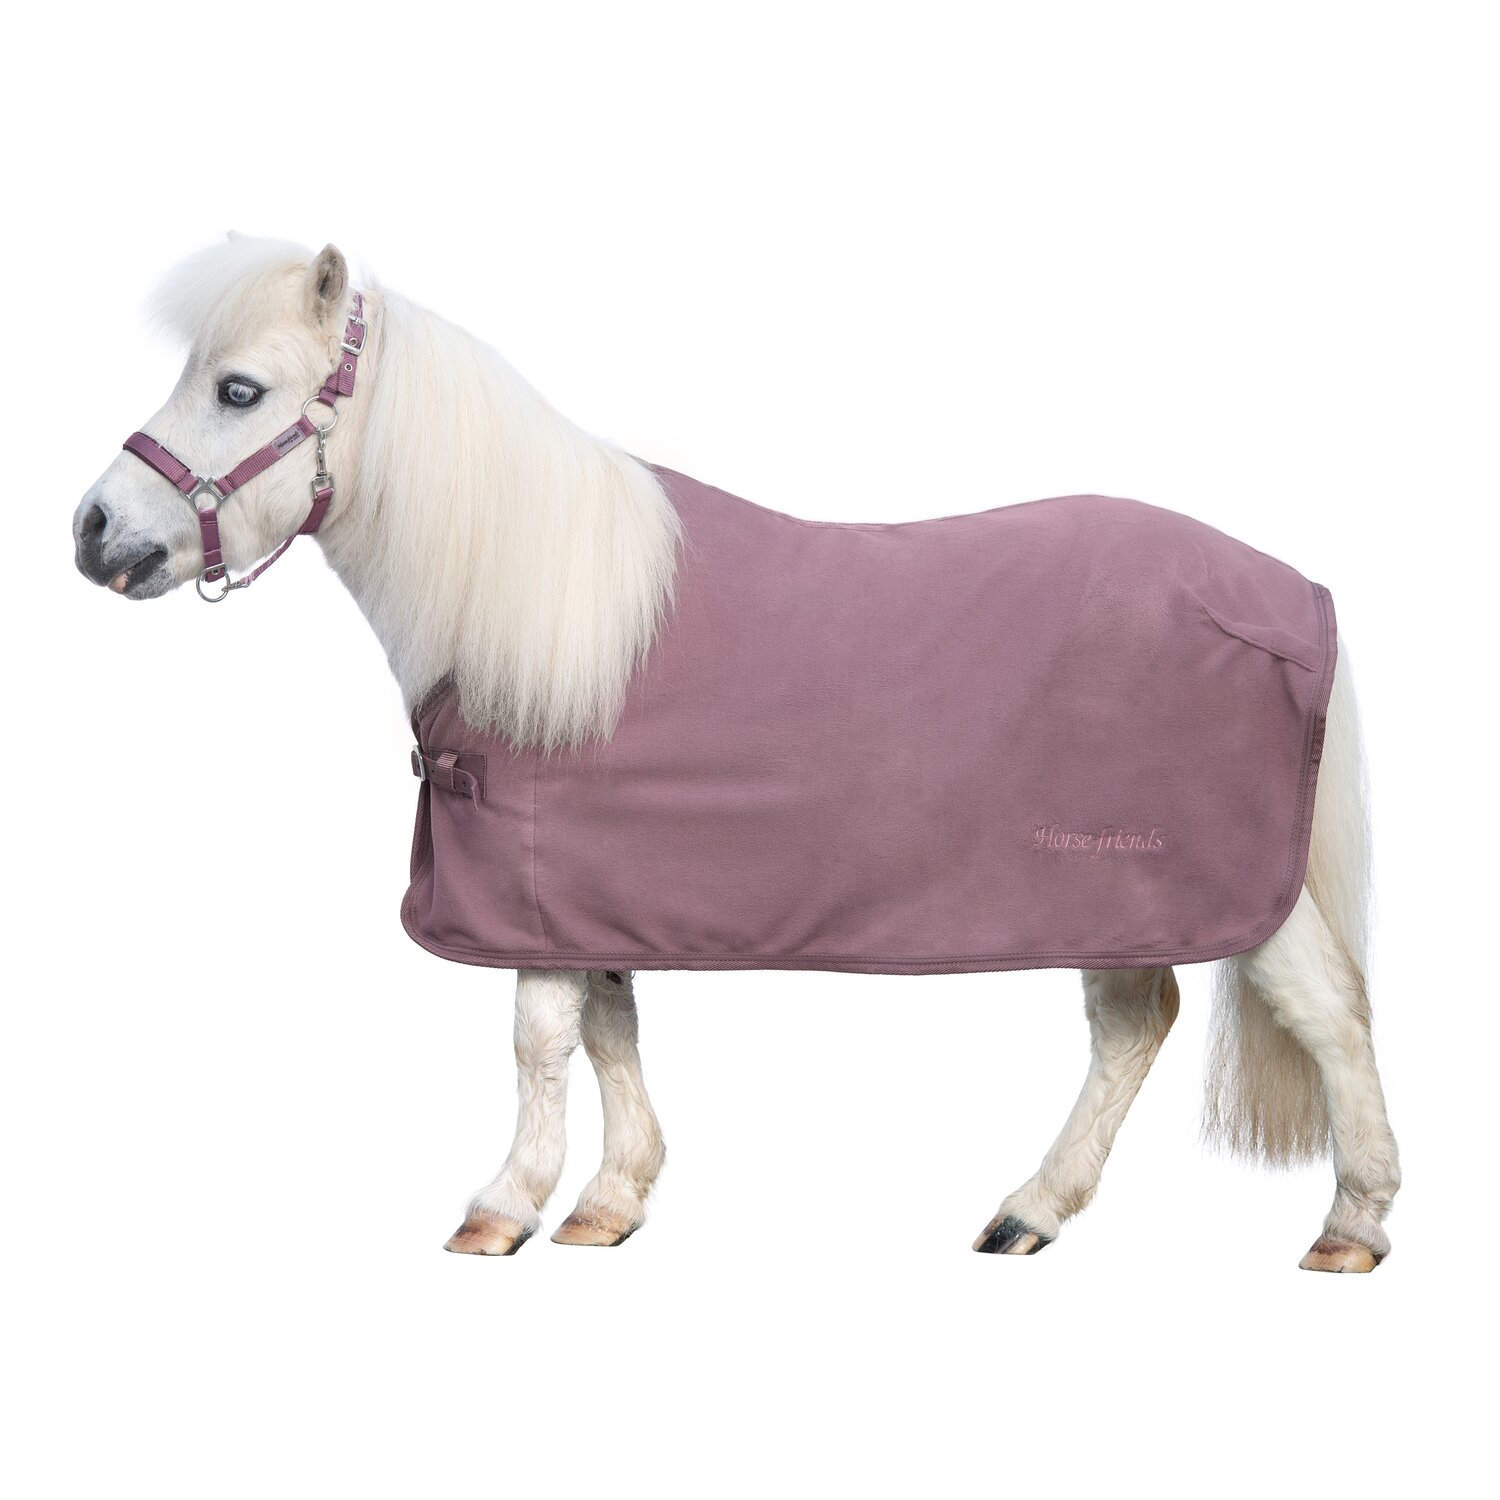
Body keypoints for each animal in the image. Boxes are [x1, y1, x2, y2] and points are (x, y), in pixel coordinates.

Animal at [72, 235, 1400, 1271]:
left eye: (240, 390)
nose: (93, 533)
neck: (532, 608)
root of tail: (1287, 591)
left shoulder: (533, 890)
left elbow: (540, 1038)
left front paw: (504, 1206)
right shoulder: (586, 889)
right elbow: (610, 1027)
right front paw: (608, 1204)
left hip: (1221, 884)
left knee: (1327, 1011)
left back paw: (1353, 1225)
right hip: (1109, 890)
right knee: (1134, 1024)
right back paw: (1031, 1212)